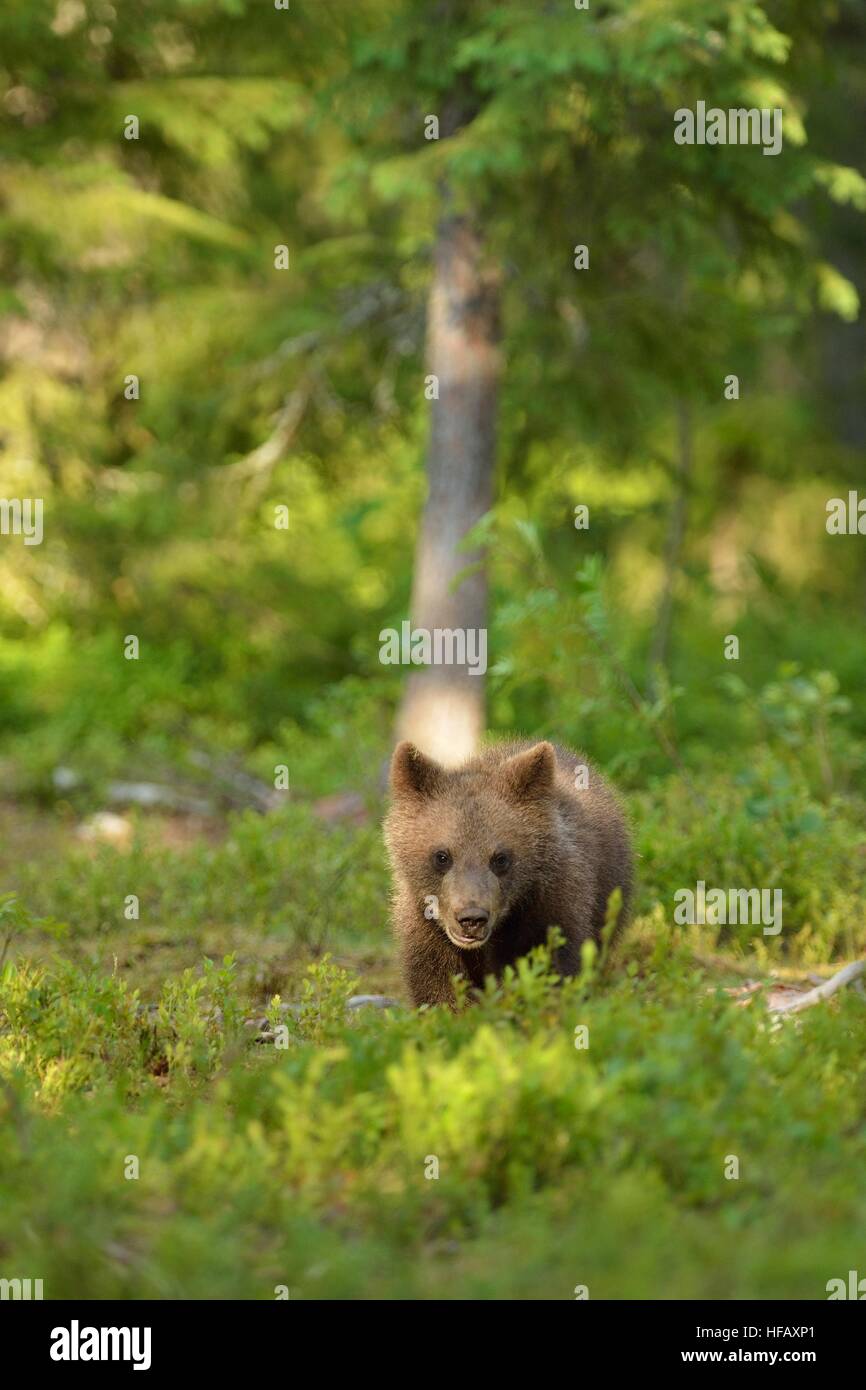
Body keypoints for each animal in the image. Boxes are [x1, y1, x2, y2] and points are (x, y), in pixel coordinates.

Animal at [384, 738, 633, 1007]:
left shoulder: (548, 911)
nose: (471, 919)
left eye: (500, 858)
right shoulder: (426, 930)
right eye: (442, 856)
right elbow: (437, 985)